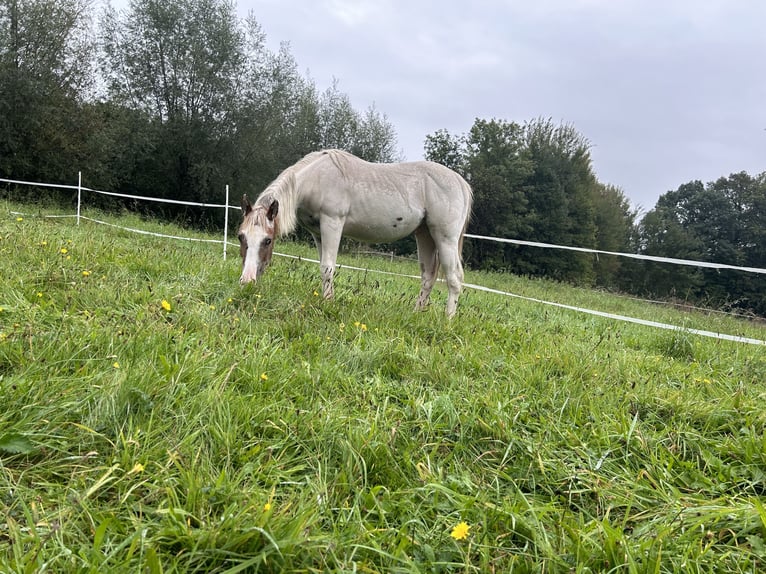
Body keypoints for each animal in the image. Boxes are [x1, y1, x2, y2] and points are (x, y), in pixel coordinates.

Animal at [237, 148, 474, 320]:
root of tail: (461, 183)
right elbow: (323, 267)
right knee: (427, 277)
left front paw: (328, 303)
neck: (316, 177)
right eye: (241, 237)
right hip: (425, 235)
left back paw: (448, 320)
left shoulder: (332, 223)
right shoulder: (318, 233)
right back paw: (416, 315)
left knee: (454, 278)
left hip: (445, 239)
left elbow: (328, 267)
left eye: (267, 240)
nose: (247, 281)